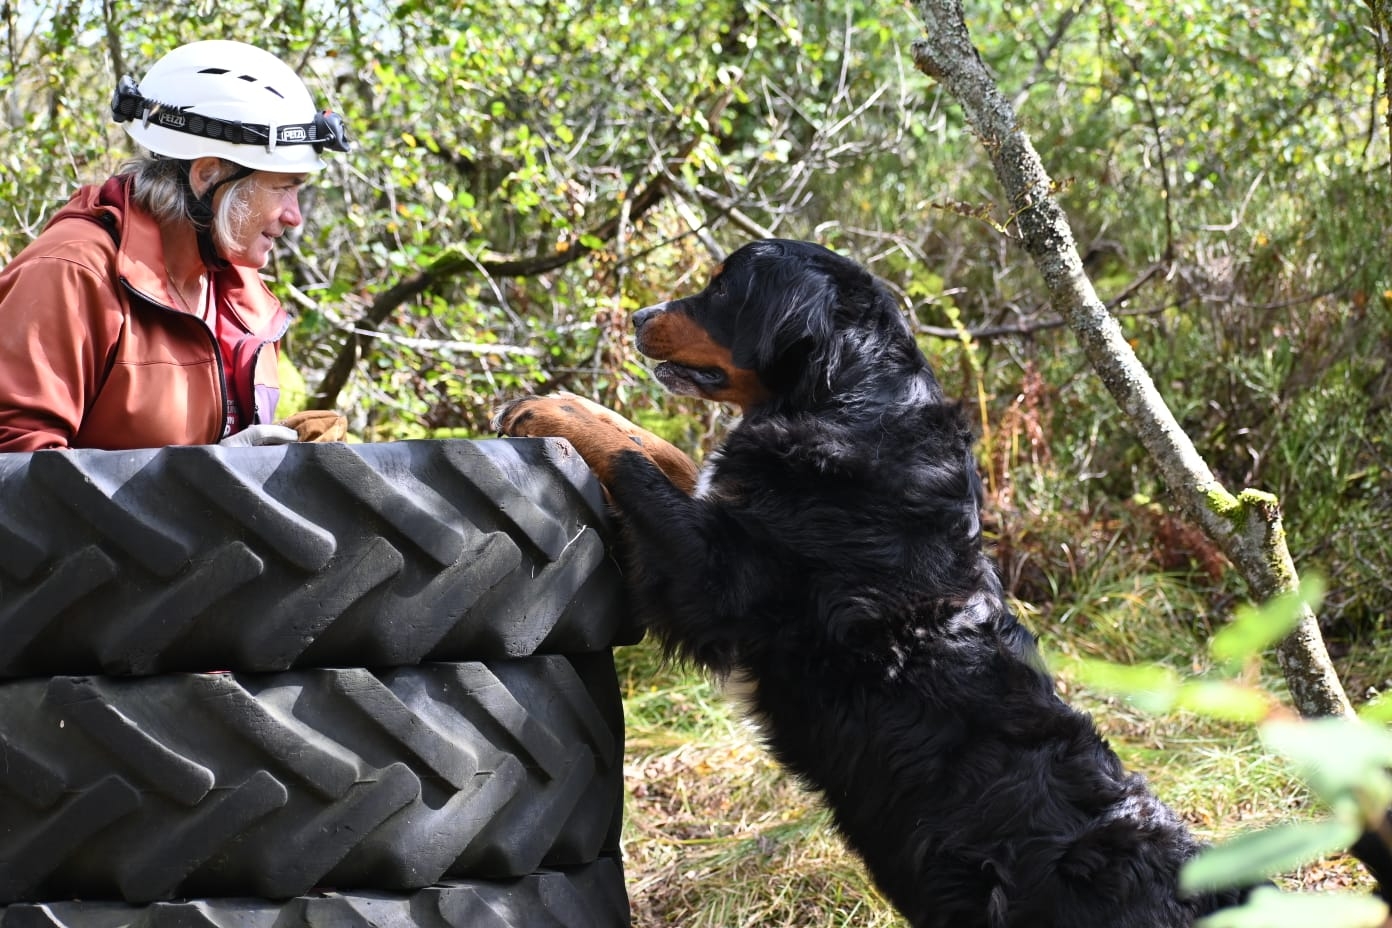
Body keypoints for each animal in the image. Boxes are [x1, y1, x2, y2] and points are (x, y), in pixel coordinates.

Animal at [495, 239, 1251, 927]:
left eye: (721, 290)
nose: (641, 314)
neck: (849, 402)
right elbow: (664, 453)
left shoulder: (714, 576)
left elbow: (633, 462)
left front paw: (554, 409)